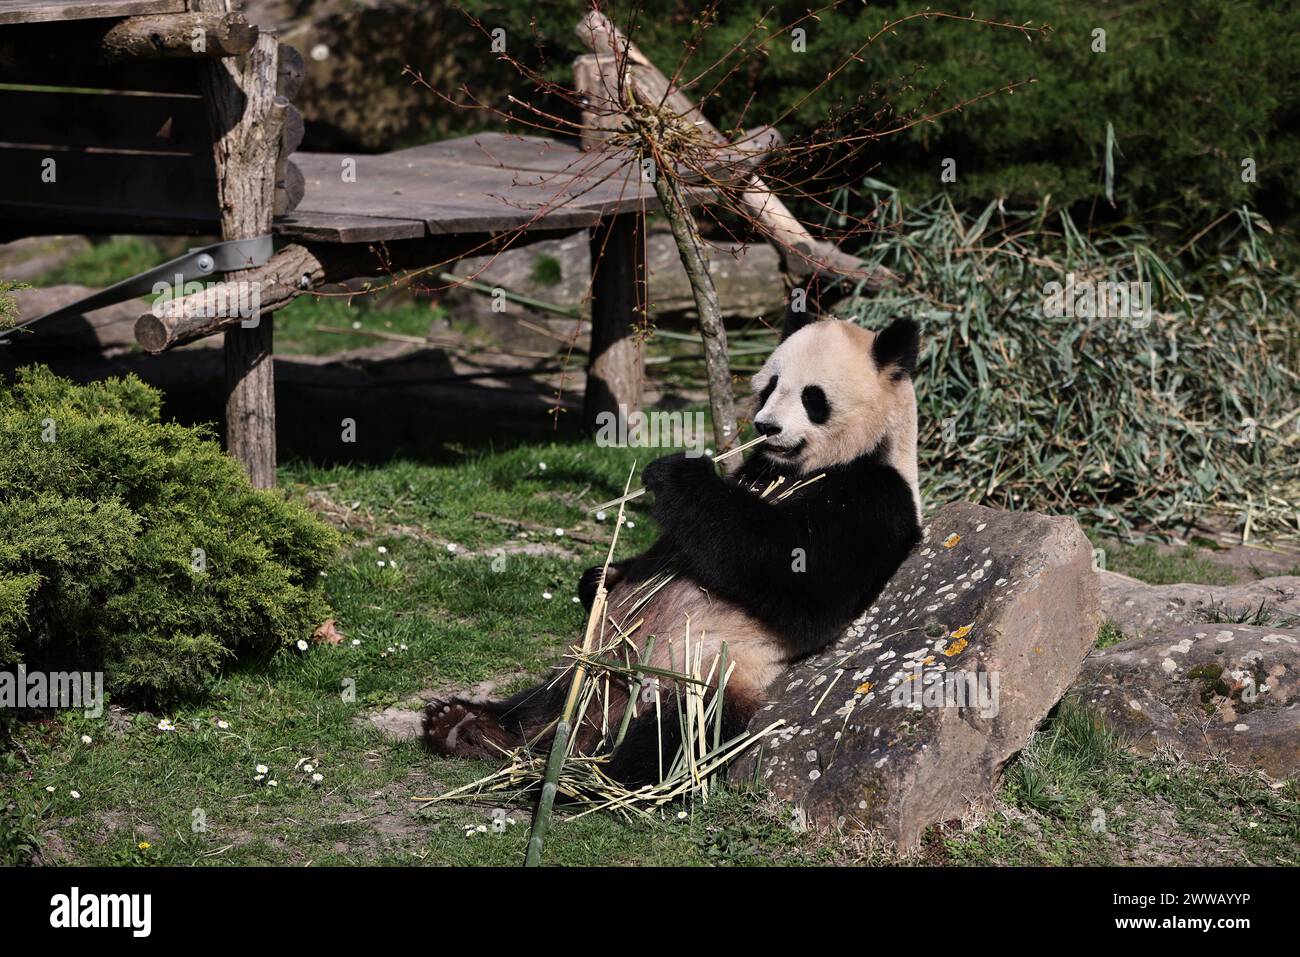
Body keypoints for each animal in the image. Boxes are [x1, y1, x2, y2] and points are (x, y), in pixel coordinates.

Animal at [421, 317, 920, 780]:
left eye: (812, 398)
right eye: (770, 386)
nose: (766, 426)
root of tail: (599, 722)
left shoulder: (876, 501)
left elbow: (802, 581)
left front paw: (678, 473)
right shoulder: (757, 470)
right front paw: (598, 579)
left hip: (705, 678)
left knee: (673, 739)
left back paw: (590, 775)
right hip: (590, 666)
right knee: (544, 701)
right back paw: (466, 725)